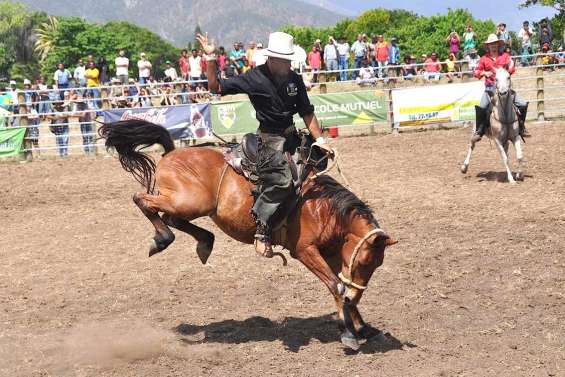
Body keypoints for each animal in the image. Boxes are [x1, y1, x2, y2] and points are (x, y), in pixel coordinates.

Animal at [97, 119, 396, 350]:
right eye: (365, 261)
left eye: (377, 264)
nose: (359, 295)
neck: (323, 207)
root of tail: (171, 153)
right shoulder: (305, 251)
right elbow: (338, 286)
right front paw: (349, 334)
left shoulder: (333, 254)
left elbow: (342, 288)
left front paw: (364, 328)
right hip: (188, 202)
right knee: (142, 200)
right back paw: (162, 240)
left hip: (190, 205)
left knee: (171, 218)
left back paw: (203, 242)